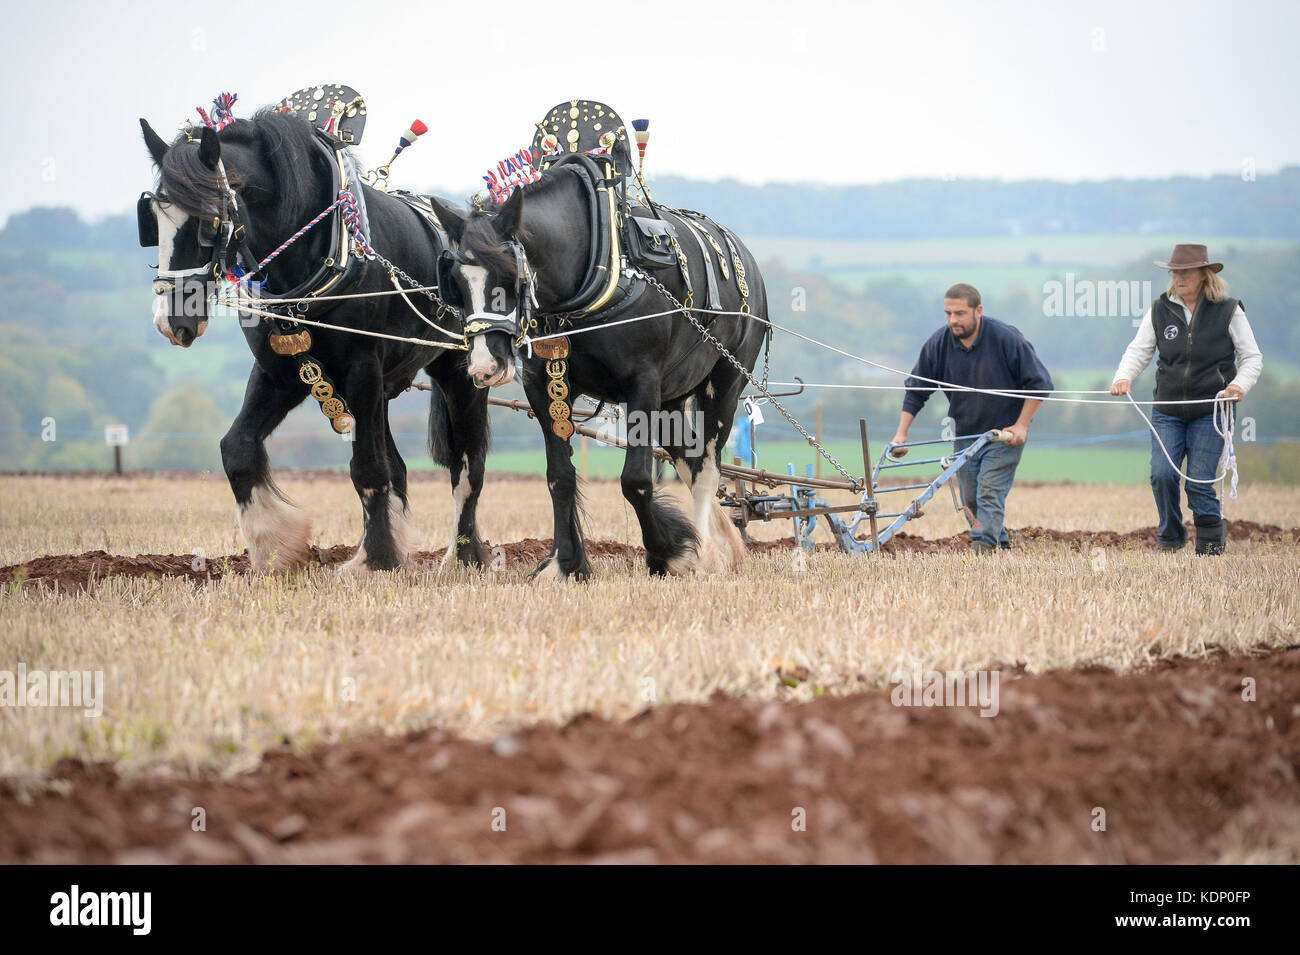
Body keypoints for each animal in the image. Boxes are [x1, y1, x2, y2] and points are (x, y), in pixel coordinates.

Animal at [137, 111, 501, 574]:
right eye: (152, 221)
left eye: (208, 223)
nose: (172, 321)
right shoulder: (280, 373)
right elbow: (237, 448)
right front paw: (275, 551)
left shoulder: (361, 368)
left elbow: (367, 468)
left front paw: (375, 561)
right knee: (401, 467)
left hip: (460, 372)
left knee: (468, 467)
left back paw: (463, 556)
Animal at [431, 174, 764, 582]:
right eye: (456, 283)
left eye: (510, 275)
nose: (483, 366)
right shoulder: (545, 388)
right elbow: (559, 477)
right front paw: (563, 565)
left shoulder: (643, 385)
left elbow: (635, 481)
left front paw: (670, 554)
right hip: (672, 396)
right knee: (691, 456)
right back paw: (722, 548)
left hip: (725, 383)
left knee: (707, 469)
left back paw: (704, 558)